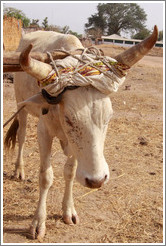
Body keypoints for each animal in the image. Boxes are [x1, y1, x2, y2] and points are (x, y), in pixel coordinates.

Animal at [4, 26, 158, 238]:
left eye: (108, 117)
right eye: (69, 119)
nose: (97, 181)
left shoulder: (74, 146)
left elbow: (69, 172)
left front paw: (68, 211)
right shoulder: (44, 133)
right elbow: (46, 176)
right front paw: (38, 222)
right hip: (22, 105)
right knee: (22, 135)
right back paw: (19, 169)